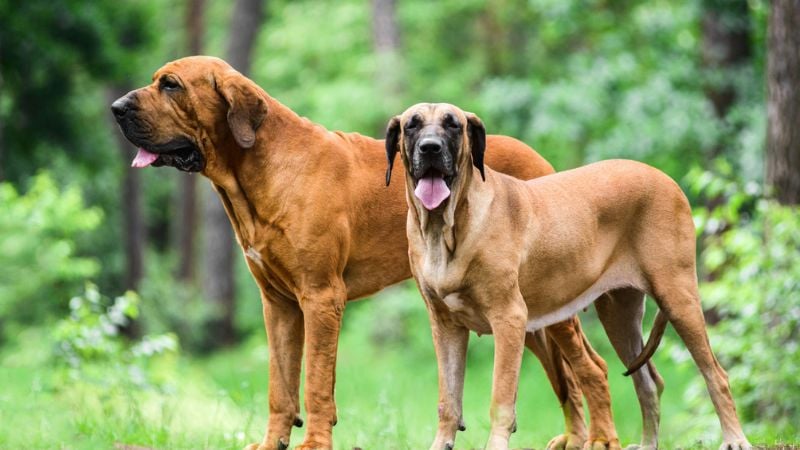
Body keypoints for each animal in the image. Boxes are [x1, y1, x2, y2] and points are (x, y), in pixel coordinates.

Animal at [109, 56, 604, 450]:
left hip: (548, 307)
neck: (260, 169)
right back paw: (575, 438)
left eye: (171, 85)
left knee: (590, 368)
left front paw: (314, 443)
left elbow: (315, 382)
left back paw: (595, 439)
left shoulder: (321, 298)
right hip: (531, 316)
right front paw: (273, 442)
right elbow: (280, 386)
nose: (115, 108)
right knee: (568, 378)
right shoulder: (279, 305)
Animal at [384, 102, 752, 450]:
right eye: (412, 125)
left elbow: (501, 399)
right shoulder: (445, 325)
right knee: (647, 381)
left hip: (678, 297)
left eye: (453, 124)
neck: (445, 228)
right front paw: (441, 442)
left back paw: (734, 438)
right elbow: (448, 401)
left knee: (716, 374)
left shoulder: (509, 319)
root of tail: (666, 178)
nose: (430, 148)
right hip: (619, 316)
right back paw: (648, 443)